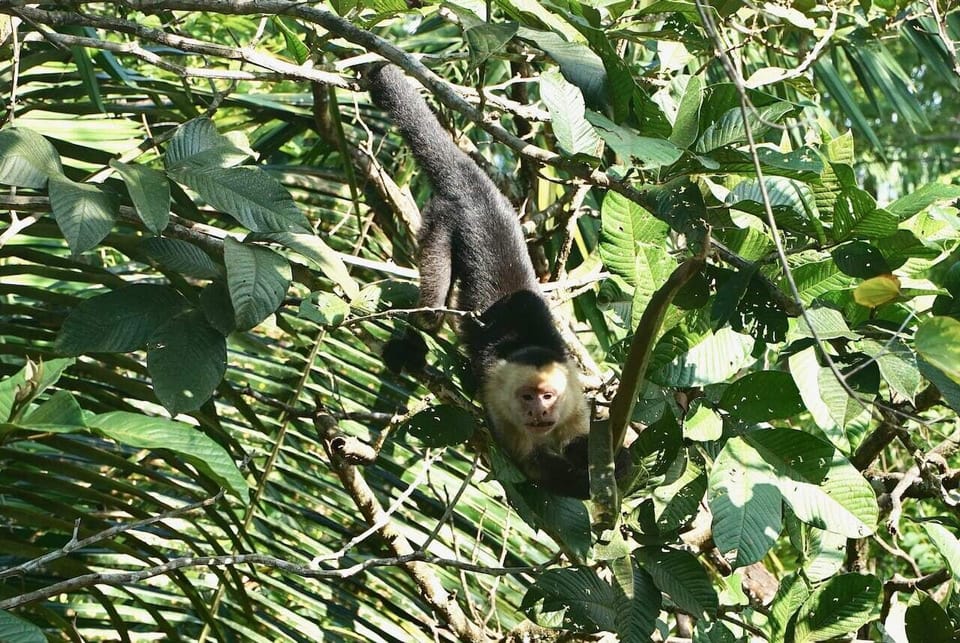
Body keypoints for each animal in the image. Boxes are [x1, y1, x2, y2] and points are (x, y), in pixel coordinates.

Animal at [366, 64, 607, 499]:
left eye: (548, 396)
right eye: (527, 397)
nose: (538, 411)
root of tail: (478, 192)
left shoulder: (573, 402)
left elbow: (582, 443)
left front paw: (618, 461)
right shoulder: (501, 405)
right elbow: (534, 468)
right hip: (442, 221)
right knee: (430, 313)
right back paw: (410, 347)